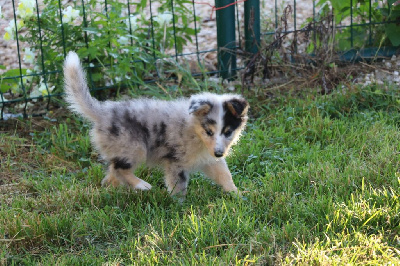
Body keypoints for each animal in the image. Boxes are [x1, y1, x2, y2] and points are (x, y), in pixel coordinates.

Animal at [63, 52, 248, 196]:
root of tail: (103, 112)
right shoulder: (176, 162)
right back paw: (141, 185)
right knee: (118, 169)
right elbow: (178, 186)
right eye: (208, 132)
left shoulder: (210, 160)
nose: (219, 153)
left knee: (111, 173)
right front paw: (180, 208)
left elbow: (225, 176)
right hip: (134, 147)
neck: (194, 131)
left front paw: (237, 195)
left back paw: (112, 189)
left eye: (228, 132)